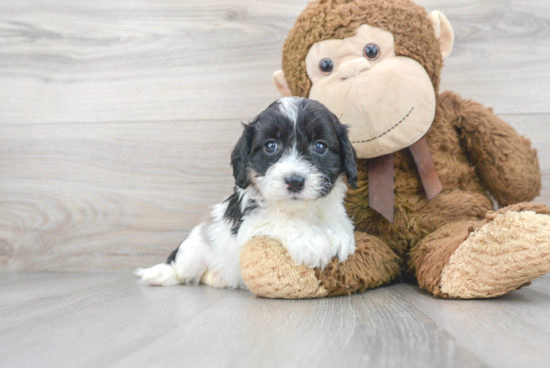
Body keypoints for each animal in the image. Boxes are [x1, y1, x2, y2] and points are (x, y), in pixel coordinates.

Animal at [136, 96, 360, 288]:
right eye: (271, 146)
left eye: (320, 147)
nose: (295, 181)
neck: (300, 210)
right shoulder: (250, 225)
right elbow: (280, 220)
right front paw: (310, 240)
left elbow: (338, 220)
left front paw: (339, 234)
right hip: (193, 250)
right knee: (180, 267)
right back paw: (159, 274)